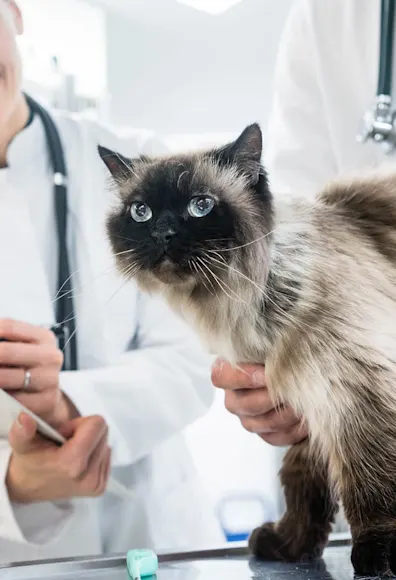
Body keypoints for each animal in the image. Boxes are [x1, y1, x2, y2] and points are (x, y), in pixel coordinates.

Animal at [99, 123, 396, 576]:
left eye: (201, 206)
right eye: (141, 212)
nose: (162, 235)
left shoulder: (355, 390)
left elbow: (371, 486)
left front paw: (375, 559)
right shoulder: (302, 397)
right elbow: (301, 481)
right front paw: (292, 546)